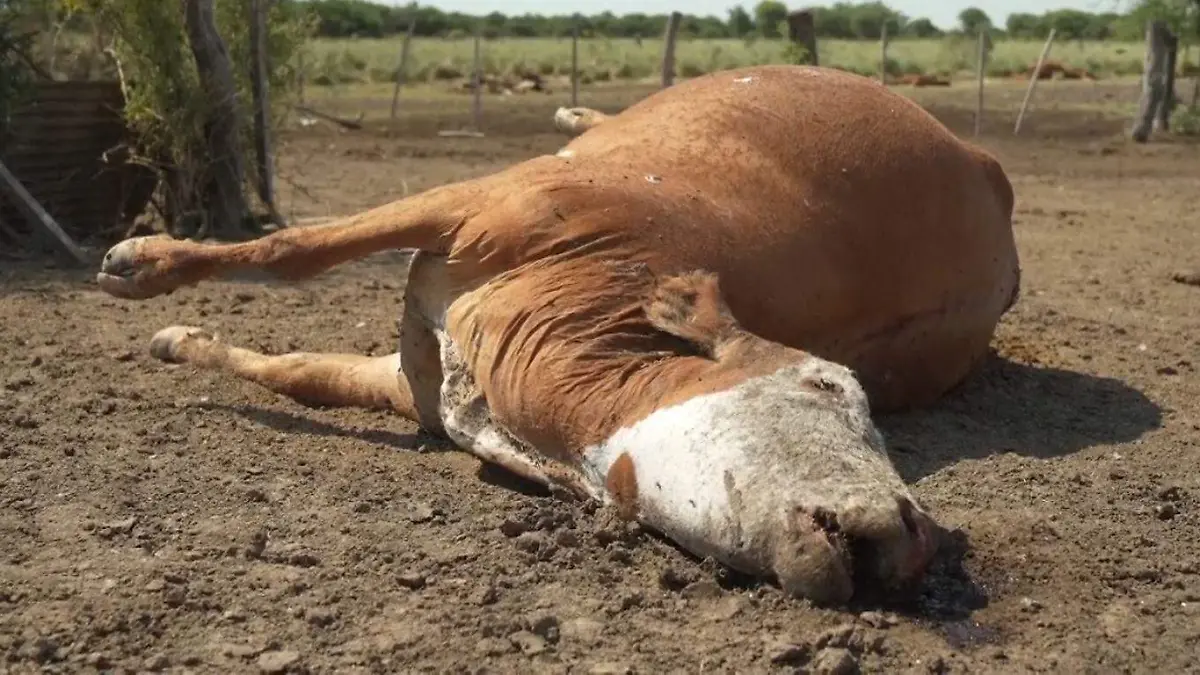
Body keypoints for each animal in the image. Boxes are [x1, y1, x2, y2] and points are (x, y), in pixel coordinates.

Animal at [96, 65, 1022, 605]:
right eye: (830, 384)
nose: (918, 537)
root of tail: (988, 168)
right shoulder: (473, 204)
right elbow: (294, 255)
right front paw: (148, 276)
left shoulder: (420, 382)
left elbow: (297, 365)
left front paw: (175, 332)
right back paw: (577, 110)